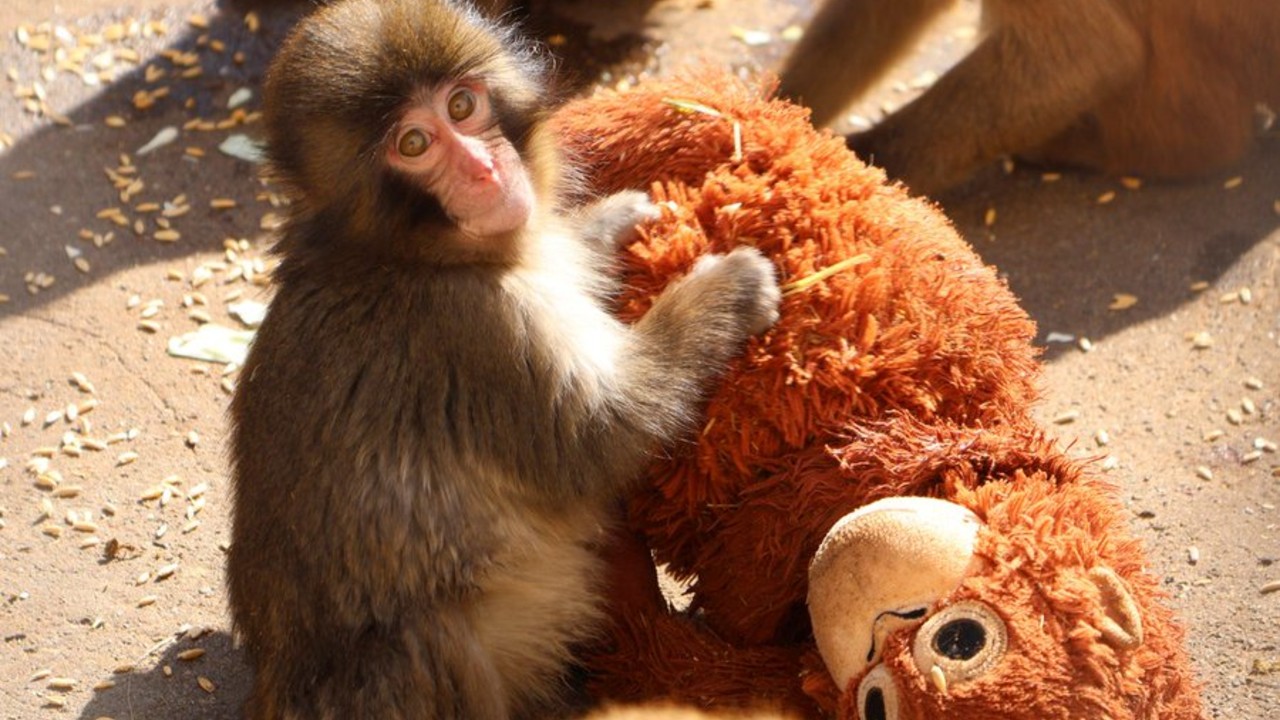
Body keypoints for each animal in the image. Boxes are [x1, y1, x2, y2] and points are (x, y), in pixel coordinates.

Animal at [225, 1, 781, 718]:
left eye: (462, 105)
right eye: (414, 144)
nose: (484, 171)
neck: (406, 254)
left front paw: (610, 221)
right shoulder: (476, 329)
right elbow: (600, 437)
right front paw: (727, 290)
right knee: (428, 638)